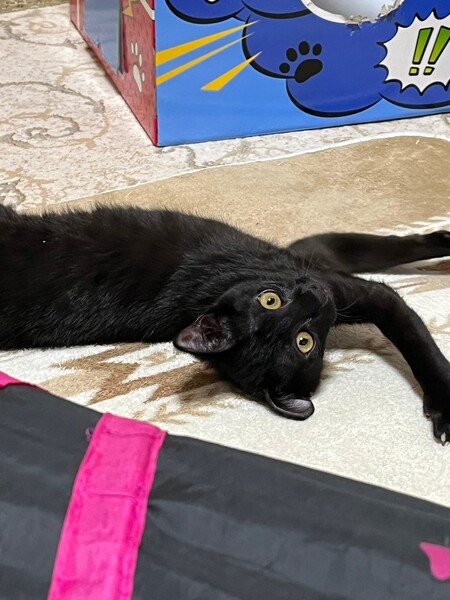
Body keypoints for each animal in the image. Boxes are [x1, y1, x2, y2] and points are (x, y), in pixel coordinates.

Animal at [0, 204, 449, 443]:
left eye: (269, 299)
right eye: (304, 342)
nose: (312, 297)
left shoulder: (321, 268)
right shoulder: (348, 286)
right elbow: (414, 334)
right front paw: (445, 408)